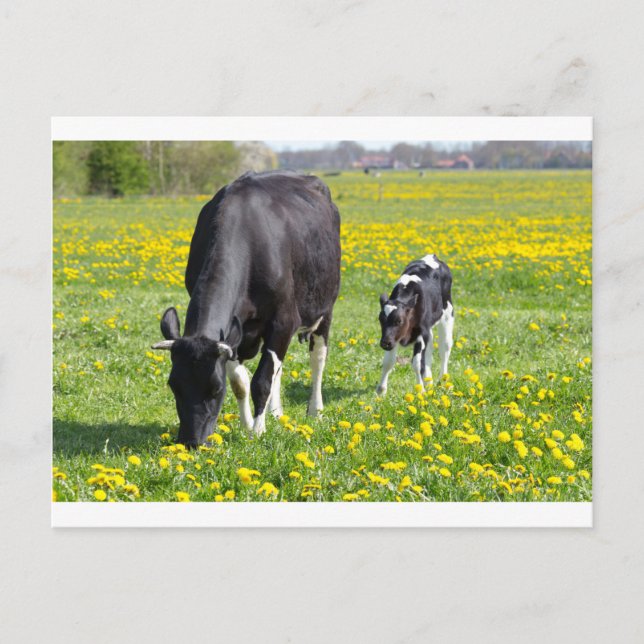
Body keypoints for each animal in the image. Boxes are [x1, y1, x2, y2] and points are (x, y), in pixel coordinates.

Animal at [151, 171, 341, 447]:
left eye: (215, 389)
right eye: (173, 385)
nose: (191, 441)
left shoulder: (284, 321)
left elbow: (261, 381)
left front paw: (257, 431)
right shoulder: (235, 333)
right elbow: (241, 381)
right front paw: (247, 424)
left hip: (325, 308)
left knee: (317, 359)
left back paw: (315, 410)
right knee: (278, 369)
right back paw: (276, 412)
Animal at [376, 254, 454, 396]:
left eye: (399, 321)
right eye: (380, 319)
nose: (384, 343)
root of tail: (432, 256)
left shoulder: (421, 335)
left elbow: (416, 363)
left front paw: (420, 390)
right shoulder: (394, 338)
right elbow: (388, 362)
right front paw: (381, 390)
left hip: (448, 313)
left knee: (444, 348)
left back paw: (443, 380)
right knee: (429, 352)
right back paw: (429, 382)